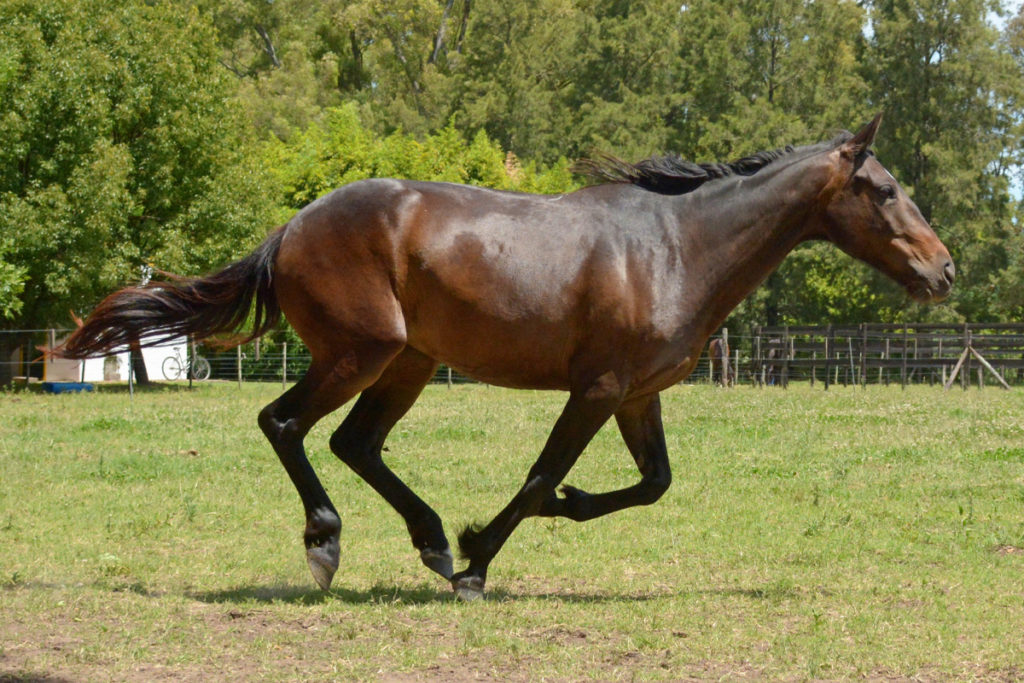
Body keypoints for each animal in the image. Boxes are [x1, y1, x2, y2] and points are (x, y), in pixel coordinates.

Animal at [60, 115, 954, 601]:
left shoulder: (639, 395)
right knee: (284, 422)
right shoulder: (596, 389)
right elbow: (536, 475)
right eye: (884, 189)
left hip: (409, 363)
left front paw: (541, 513)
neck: (675, 246)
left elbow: (653, 483)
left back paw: (428, 538)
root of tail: (291, 227)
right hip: (363, 351)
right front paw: (479, 558)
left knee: (355, 442)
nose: (943, 270)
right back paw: (328, 544)